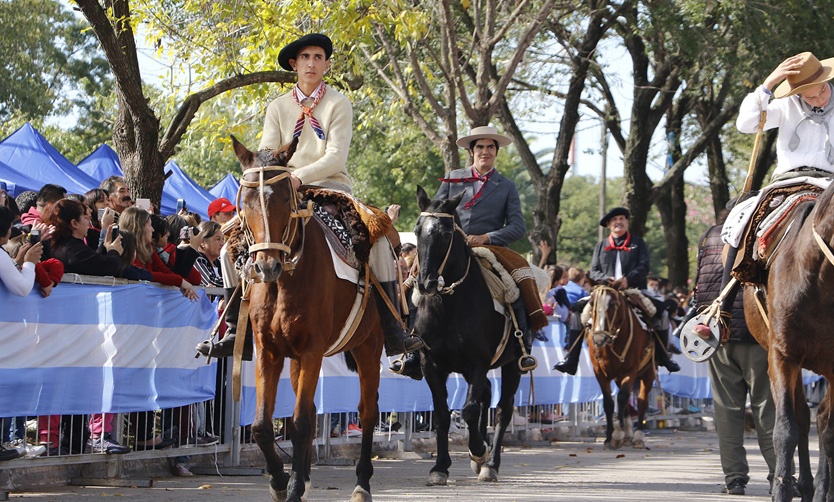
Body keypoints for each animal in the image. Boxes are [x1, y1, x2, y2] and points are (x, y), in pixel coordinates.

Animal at [231, 137, 380, 502]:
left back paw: (362, 483)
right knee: (312, 411)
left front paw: (293, 485)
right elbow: (262, 425)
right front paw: (280, 481)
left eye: (286, 197)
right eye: (245, 201)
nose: (265, 266)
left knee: (368, 412)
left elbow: (298, 423)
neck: (287, 279)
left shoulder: (312, 350)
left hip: (368, 347)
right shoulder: (268, 351)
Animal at [410, 186, 520, 484]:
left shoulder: (479, 362)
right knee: (487, 395)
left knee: (503, 409)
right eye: (417, 230)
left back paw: (490, 463)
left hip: (514, 365)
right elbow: (441, 415)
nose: (425, 283)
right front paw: (439, 467)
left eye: (447, 234)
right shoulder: (431, 364)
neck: (450, 306)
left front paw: (479, 451)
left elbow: (469, 409)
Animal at [584, 284, 656, 450]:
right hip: (618, 377)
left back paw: (638, 437)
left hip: (648, 373)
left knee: (642, 401)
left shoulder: (631, 371)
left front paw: (617, 435)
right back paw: (628, 434)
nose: (599, 338)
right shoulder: (600, 373)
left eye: (613, 304)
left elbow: (622, 397)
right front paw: (610, 436)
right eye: (591, 303)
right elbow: (609, 403)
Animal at [736, 185, 832, 502]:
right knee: (804, 416)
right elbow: (786, 427)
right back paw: (804, 484)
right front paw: (782, 488)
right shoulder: (782, 355)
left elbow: (828, 427)